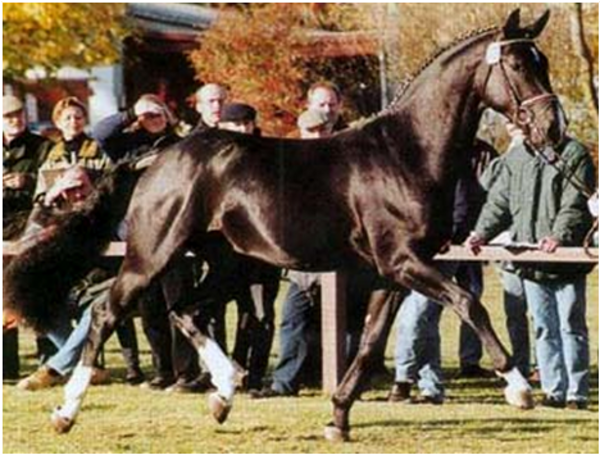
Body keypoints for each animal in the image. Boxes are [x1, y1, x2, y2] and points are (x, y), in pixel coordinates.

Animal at [4, 9, 564, 442]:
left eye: (543, 62)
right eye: (518, 64)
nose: (552, 127)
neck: (405, 154)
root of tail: (156, 157)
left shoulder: (394, 274)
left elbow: (369, 344)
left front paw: (337, 418)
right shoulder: (403, 262)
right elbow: (469, 303)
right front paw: (519, 390)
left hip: (228, 263)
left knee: (186, 311)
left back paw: (225, 393)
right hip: (152, 255)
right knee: (106, 313)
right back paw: (66, 413)